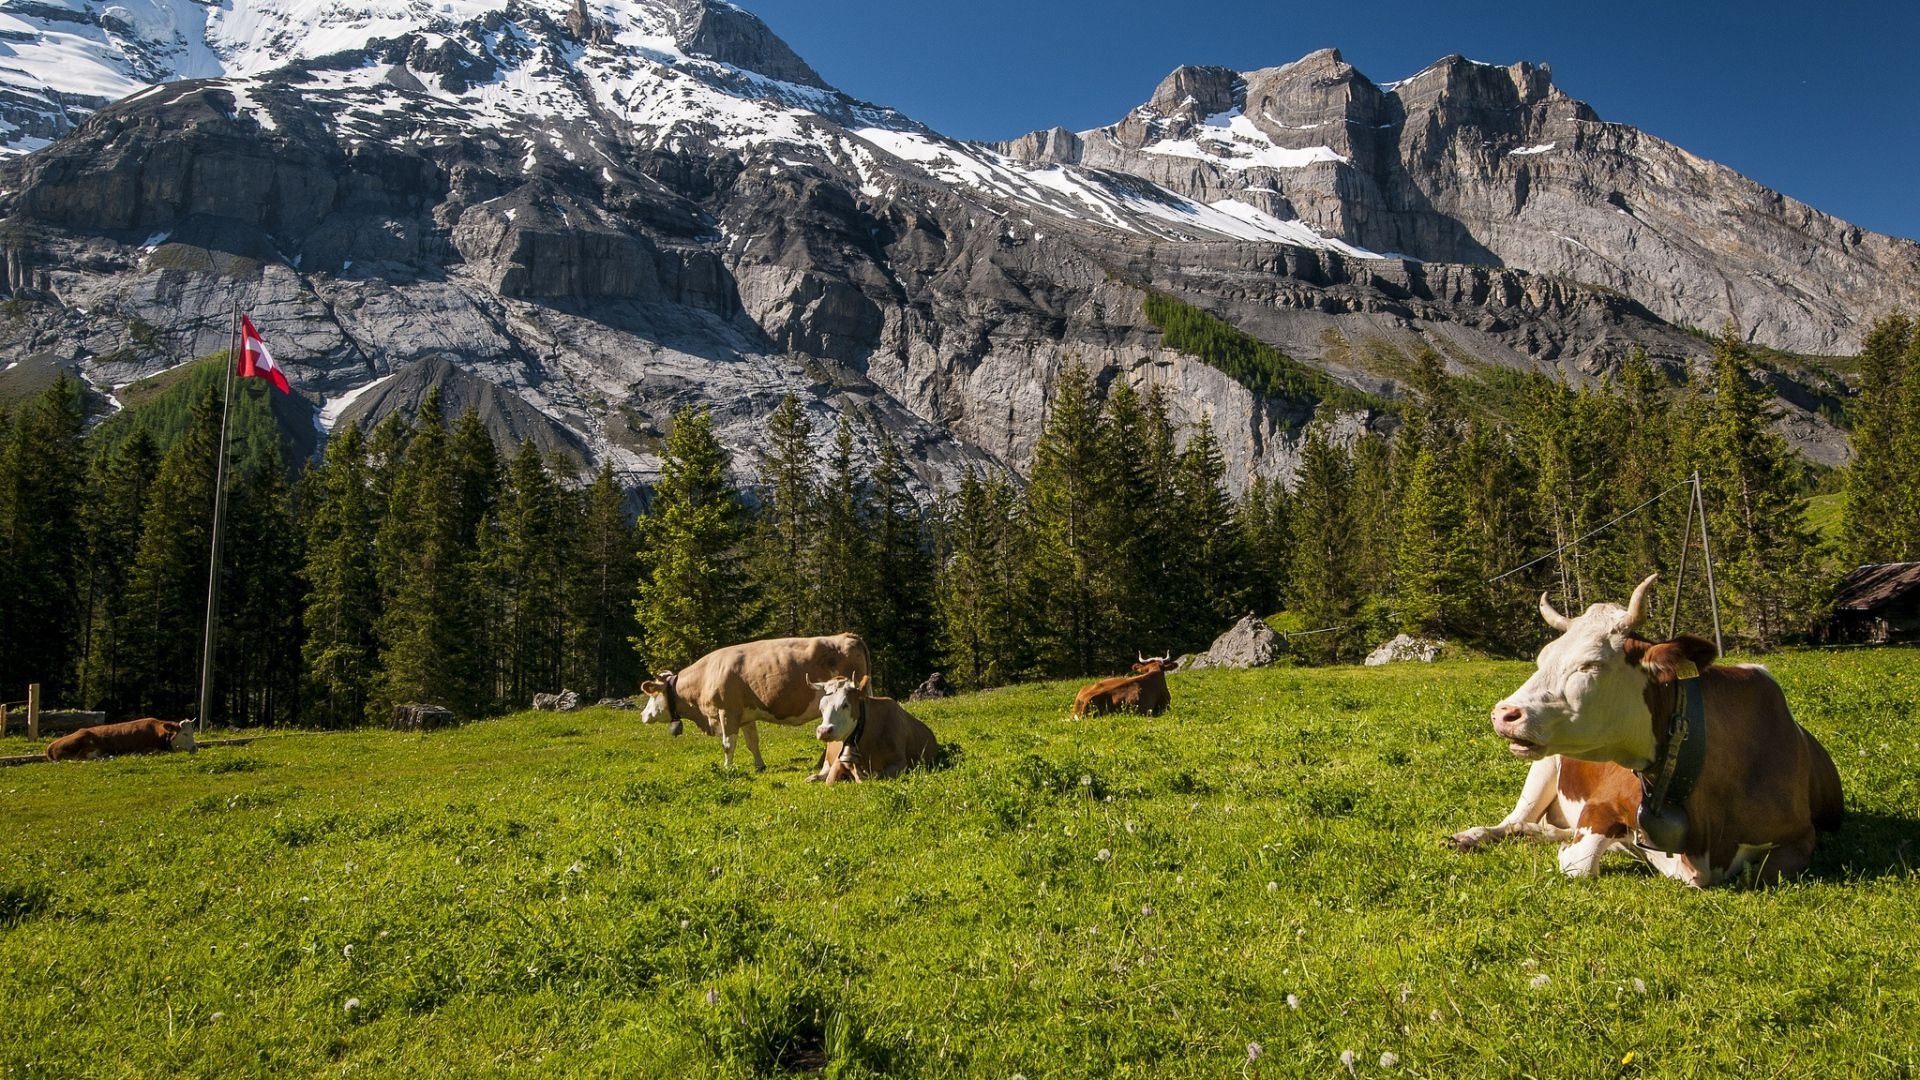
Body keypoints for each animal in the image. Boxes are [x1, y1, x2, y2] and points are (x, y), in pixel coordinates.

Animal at [637, 626, 871, 768]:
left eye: (652, 695)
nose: (643, 715)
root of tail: (848, 636)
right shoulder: (746, 717)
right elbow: (753, 742)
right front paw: (760, 766)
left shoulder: (727, 712)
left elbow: (728, 744)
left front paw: (727, 768)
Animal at [1451, 572, 1843, 883]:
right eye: (1542, 658)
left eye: (1590, 664)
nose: (1503, 713)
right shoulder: (1603, 804)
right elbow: (1579, 863)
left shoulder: (1802, 836)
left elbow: (1761, 872)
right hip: (1544, 768)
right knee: (1511, 821)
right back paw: (1472, 835)